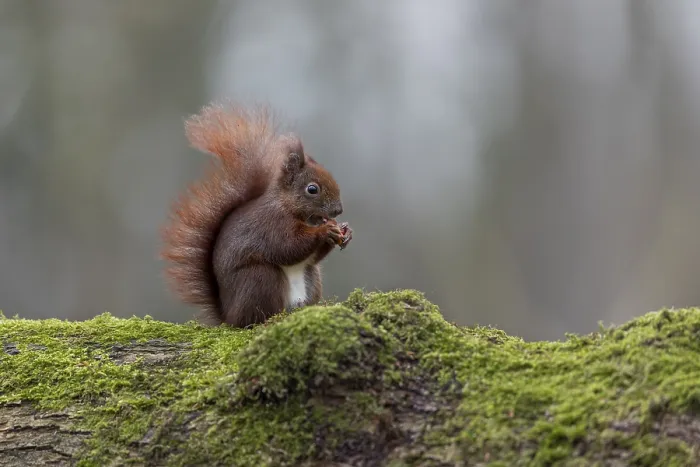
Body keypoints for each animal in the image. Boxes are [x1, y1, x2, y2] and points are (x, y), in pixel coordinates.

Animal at [161, 102, 353, 327]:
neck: (289, 207)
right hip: (260, 278)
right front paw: (325, 231)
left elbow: (312, 256)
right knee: (255, 316)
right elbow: (287, 247)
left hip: (311, 277)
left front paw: (345, 231)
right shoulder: (272, 224)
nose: (338, 210)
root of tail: (228, 315)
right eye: (312, 189)